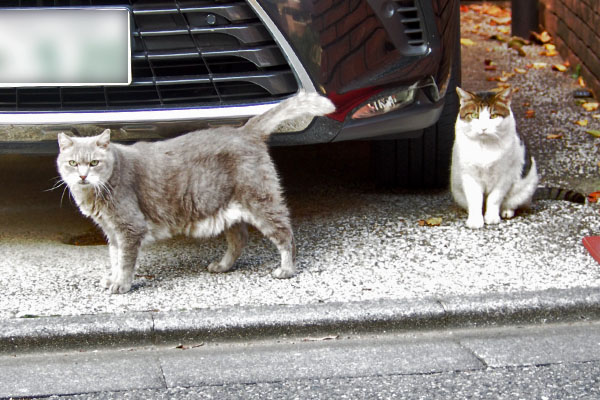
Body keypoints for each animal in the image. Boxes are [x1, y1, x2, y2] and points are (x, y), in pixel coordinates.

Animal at [55, 91, 336, 294]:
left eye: (94, 163)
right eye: (72, 163)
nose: (82, 176)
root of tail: (244, 130)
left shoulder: (129, 228)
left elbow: (125, 262)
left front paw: (120, 285)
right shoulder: (112, 232)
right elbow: (114, 258)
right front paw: (111, 278)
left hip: (260, 202)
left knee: (286, 235)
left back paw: (286, 270)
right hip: (226, 208)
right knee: (240, 239)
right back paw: (222, 266)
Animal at [450, 88, 540, 230]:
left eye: (493, 116)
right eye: (474, 115)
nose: (483, 128)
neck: (485, 146)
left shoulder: (505, 175)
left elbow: (495, 198)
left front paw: (492, 217)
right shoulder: (470, 175)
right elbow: (475, 199)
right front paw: (475, 220)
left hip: (527, 185)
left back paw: (506, 211)